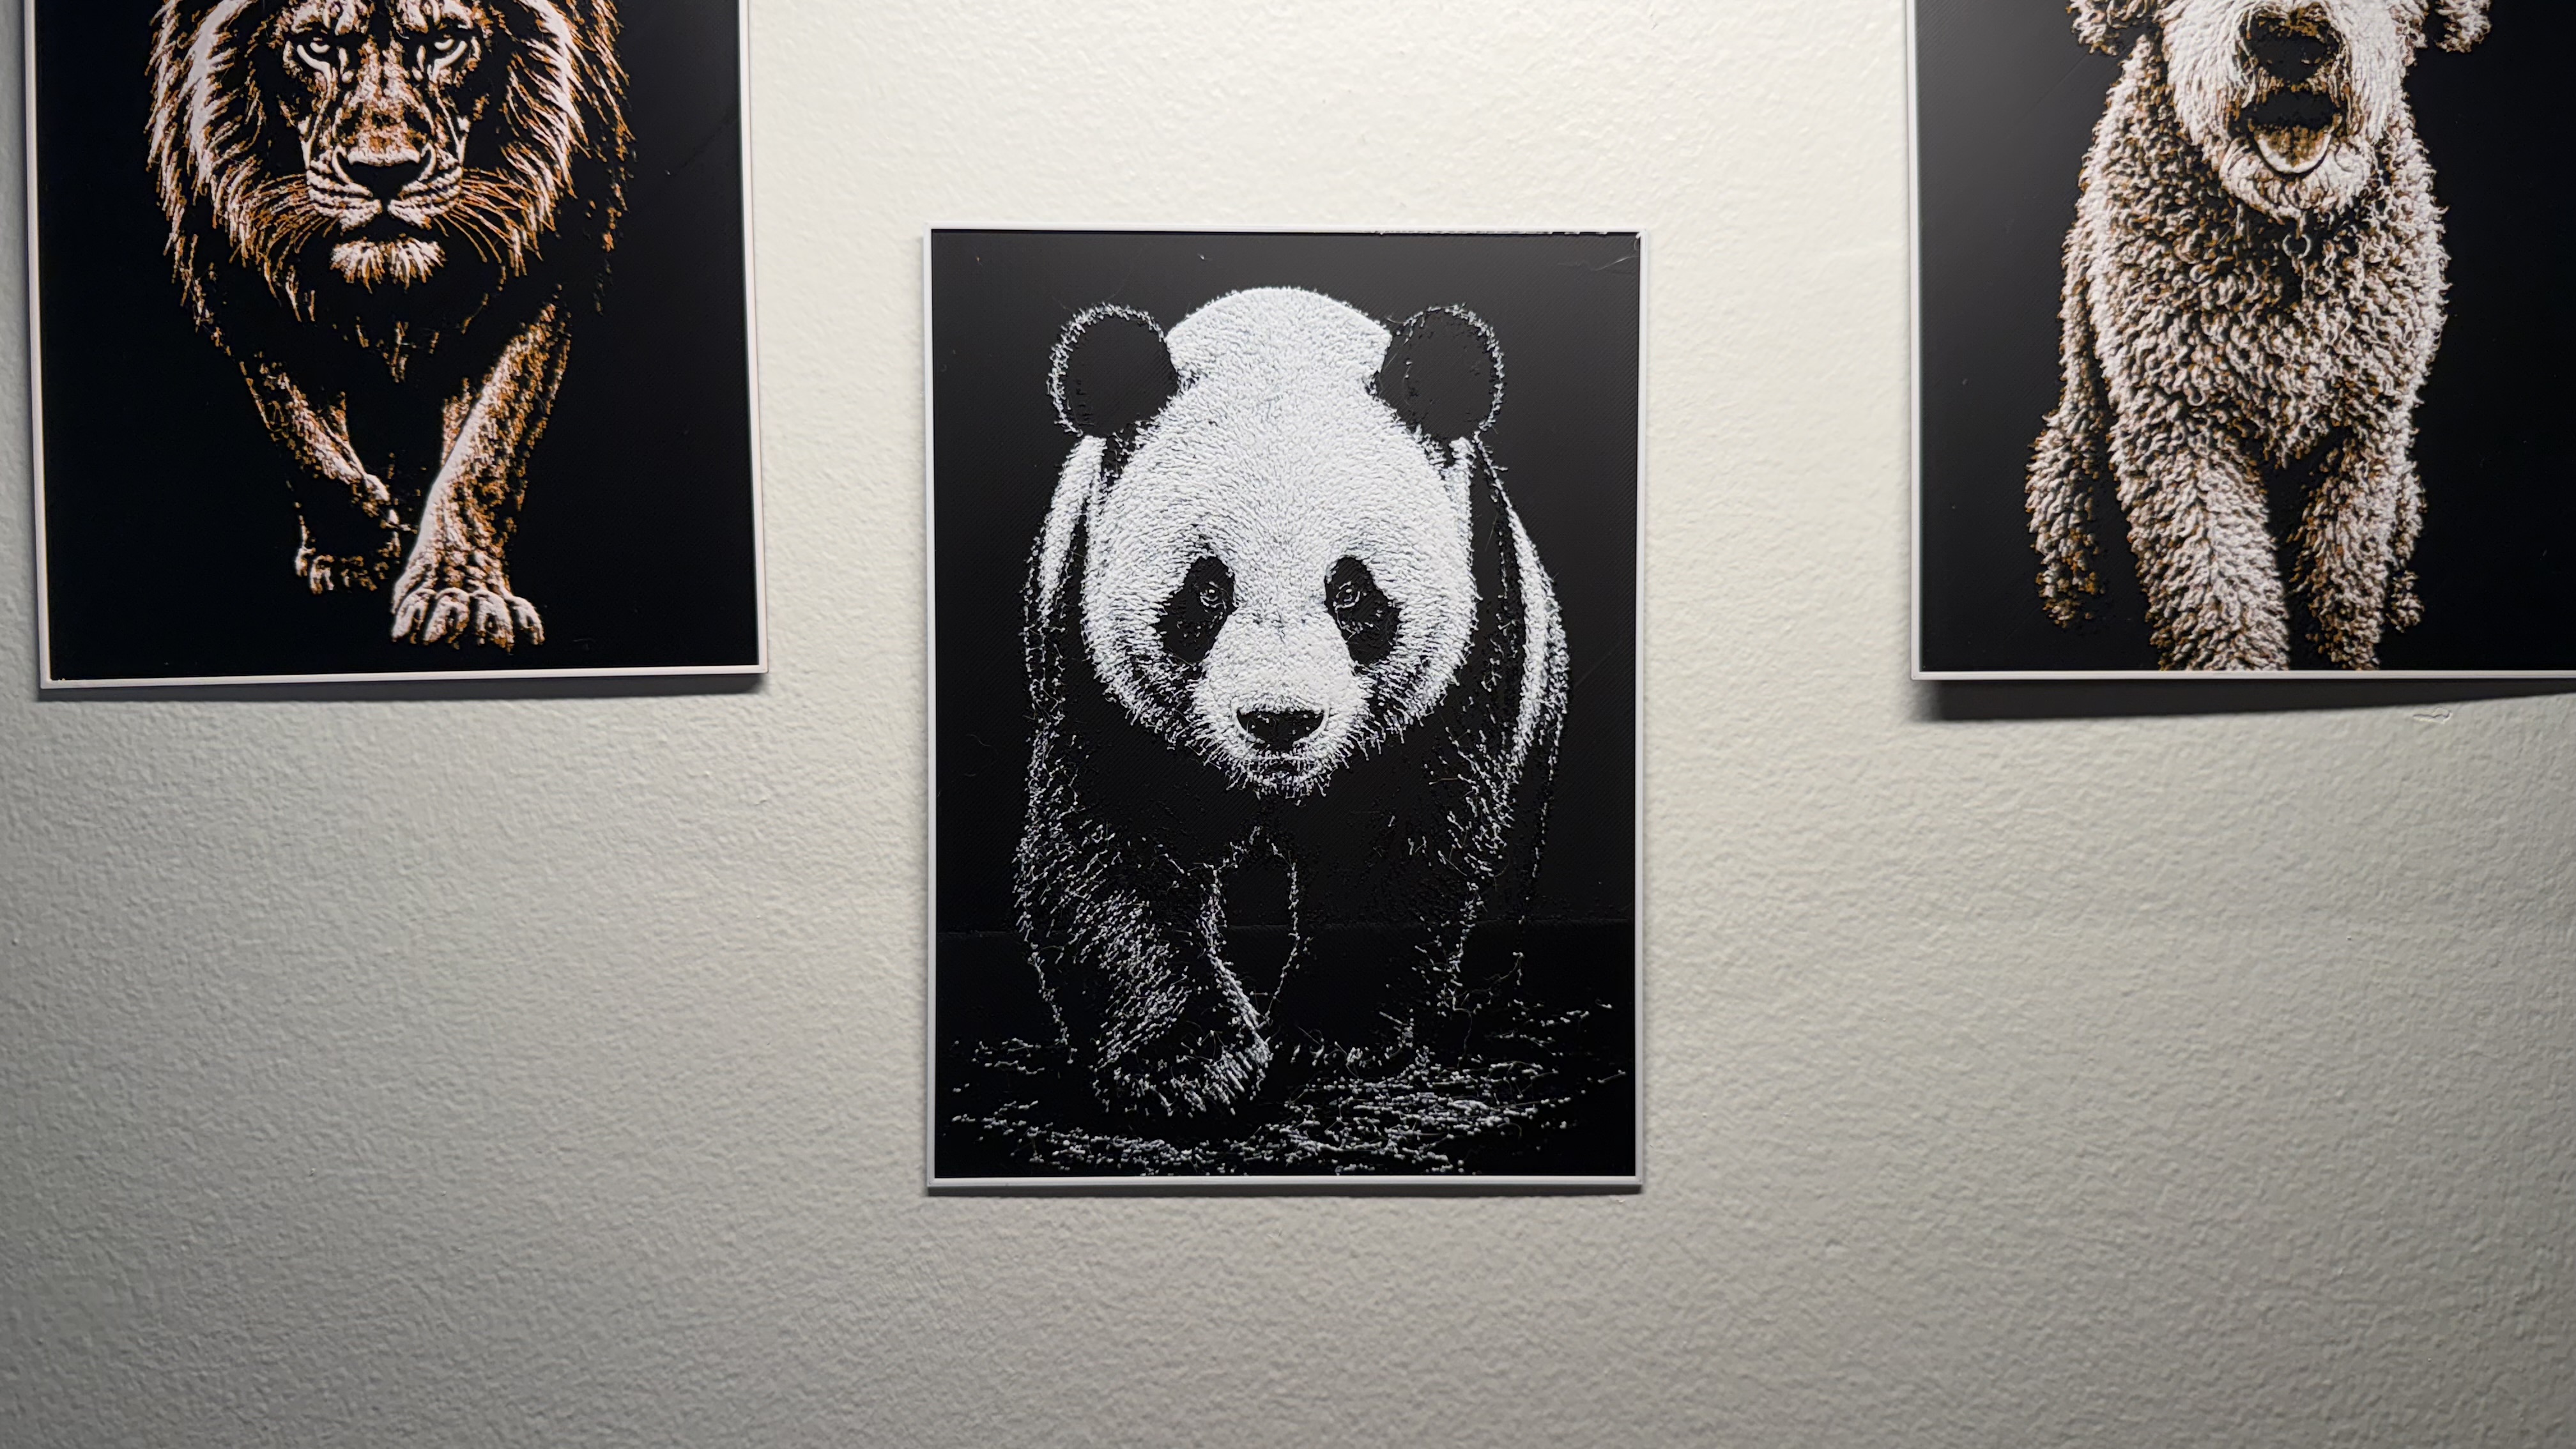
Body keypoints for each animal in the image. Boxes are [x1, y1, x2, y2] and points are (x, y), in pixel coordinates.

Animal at [1014, 286, 1570, 1120]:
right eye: (1208, 592)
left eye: (1352, 593)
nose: (1280, 721)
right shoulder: (1093, 657)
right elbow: (1107, 846)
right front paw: (1190, 1065)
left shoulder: (1467, 652)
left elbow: (1404, 832)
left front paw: (1335, 1034)